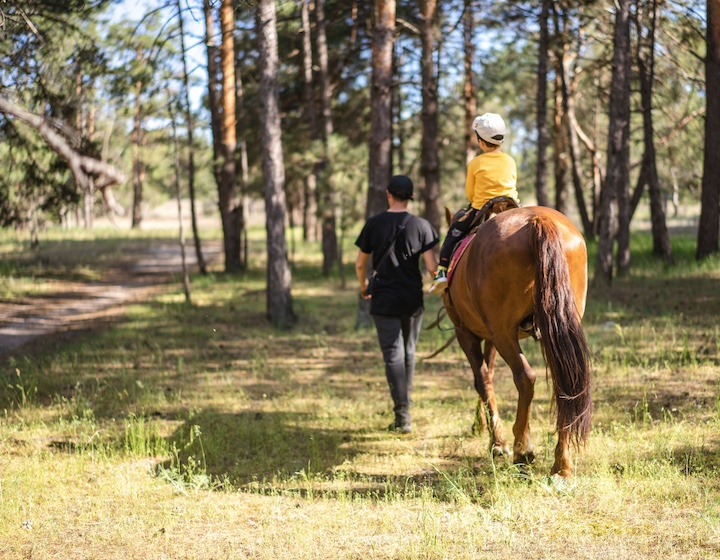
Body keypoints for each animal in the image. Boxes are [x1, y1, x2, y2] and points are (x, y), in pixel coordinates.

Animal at [441, 205, 592, 477]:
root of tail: (538, 220)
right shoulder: (489, 336)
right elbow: (487, 376)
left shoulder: (466, 332)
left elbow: (482, 379)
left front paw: (497, 442)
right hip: (557, 325)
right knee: (566, 382)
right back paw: (561, 465)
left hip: (504, 333)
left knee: (525, 377)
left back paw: (522, 448)